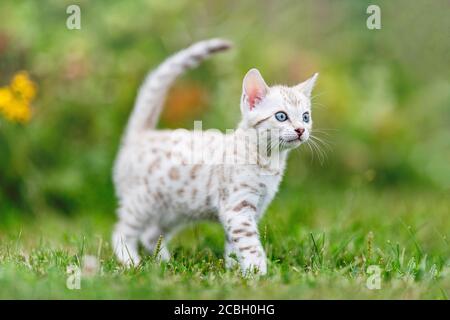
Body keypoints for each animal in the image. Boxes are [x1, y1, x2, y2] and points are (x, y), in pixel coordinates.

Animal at [112, 38, 318, 276]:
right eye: (281, 116)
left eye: (306, 117)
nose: (301, 130)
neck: (269, 161)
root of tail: (142, 134)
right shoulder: (238, 208)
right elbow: (250, 244)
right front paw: (258, 273)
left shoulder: (253, 208)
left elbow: (233, 245)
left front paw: (234, 271)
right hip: (143, 201)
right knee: (121, 231)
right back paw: (131, 262)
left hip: (174, 208)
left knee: (150, 234)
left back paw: (165, 263)